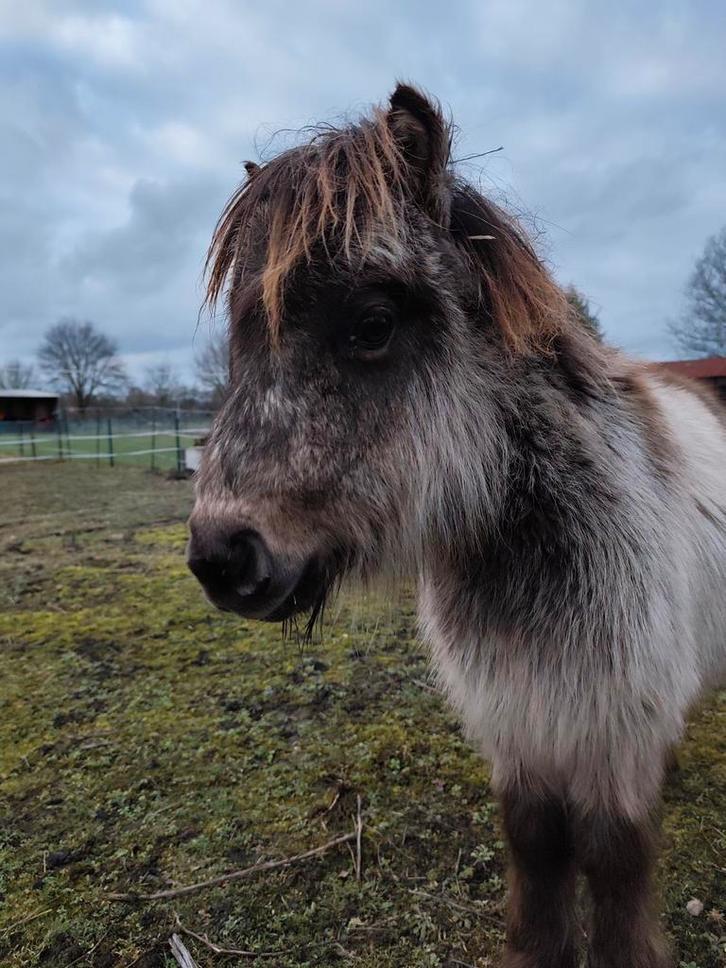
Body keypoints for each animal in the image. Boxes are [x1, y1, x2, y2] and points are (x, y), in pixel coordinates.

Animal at [187, 84, 726, 967]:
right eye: (241, 342)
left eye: (372, 324)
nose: (221, 555)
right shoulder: (521, 725)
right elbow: (536, 844)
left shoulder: (612, 728)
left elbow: (614, 860)